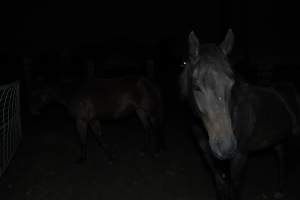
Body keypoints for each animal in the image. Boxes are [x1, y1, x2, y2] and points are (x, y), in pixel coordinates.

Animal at [30, 75, 165, 162]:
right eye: (34, 93)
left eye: (40, 93)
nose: (33, 111)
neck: (72, 92)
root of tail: (152, 83)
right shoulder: (92, 120)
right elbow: (99, 137)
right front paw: (110, 156)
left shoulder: (81, 120)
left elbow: (83, 140)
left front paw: (82, 159)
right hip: (140, 111)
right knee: (147, 129)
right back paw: (144, 150)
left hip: (151, 112)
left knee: (157, 129)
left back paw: (157, 151)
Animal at [179, 28, 300, 199]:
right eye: (196, 87)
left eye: (231, 83)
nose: (227, 147)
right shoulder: (209, 158)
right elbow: (221, 187)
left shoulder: (240, 158)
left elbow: (234, 190)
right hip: (279, 139)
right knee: (281, 157)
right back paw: (279, 191)